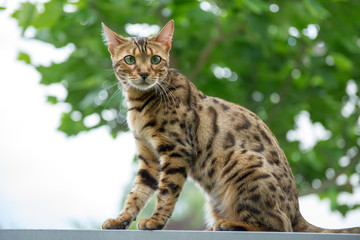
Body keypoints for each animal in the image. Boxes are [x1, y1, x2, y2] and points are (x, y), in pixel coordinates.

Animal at [100, 19, 360, 233]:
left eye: (155, 59)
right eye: (130, 59)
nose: (144, 73)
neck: (139, 105)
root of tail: (298, 213)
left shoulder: (177, 151)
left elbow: (166, 192)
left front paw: (155, 221)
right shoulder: (149, 158)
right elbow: (136, 194)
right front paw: (120, 220)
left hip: (243, 164)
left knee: (279, 225)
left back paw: (228, 224)